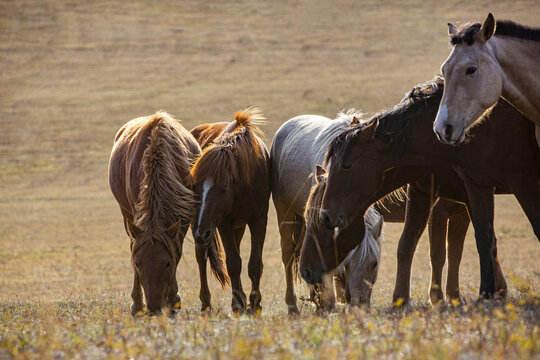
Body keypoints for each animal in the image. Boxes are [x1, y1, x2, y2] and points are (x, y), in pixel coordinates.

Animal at [108, 110, 229, 316]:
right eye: (138, 264)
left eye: (167, 263)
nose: (155, 308)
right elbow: (135, 247)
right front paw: (138, 303)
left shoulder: (183, 216)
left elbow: (177, 251)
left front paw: (173, 300)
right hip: (126, 214)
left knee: (200, 252)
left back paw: (205, 303)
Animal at [191, 106, 274, 312]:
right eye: (195, 187)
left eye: (223, 189)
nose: (202, 232)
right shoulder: (224, 224)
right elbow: (234, 263)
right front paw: (237, 304)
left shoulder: (258, 220)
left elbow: (255, 264)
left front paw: (254, 303)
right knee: (200, 256)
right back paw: (206, 303)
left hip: (237, 226)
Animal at [270, 112, 472, 310]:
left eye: (375, 264)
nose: (360, 304)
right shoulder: (438, 213)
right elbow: (438, 254)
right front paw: (438, 299)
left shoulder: (460, 213)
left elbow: (455, 253)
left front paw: (454, 297)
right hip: (285, 213)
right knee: (288, 256)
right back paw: (294, 305)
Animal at [318, 78, 536, 300]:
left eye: (347, 165)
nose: (326, 215)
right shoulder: (432, 194)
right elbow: (412, 246)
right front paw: (407, 299)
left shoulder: (476, 196)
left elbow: (449, 251)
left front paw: (448, 296)